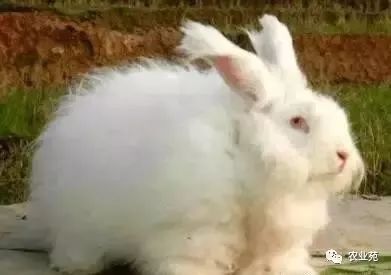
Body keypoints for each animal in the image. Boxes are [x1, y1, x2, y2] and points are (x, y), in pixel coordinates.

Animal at [21, 13, 366, 275]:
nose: (344, 156)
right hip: (79, 224)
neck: (242, 157)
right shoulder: (194, 232)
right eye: (297, 122)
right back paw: (76, 265)